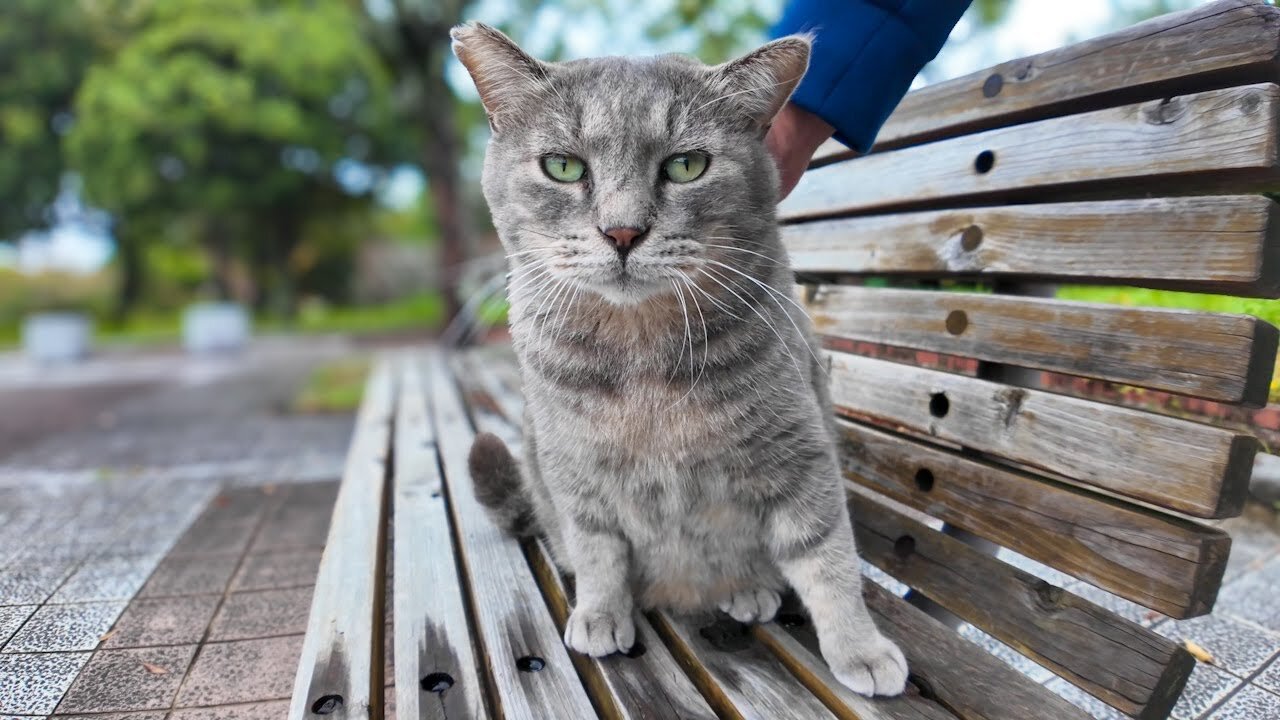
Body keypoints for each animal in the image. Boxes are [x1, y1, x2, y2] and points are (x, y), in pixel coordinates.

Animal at [450, 23, 911, 696]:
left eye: (686, 165)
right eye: (563, 166)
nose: (621, 232)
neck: (641, 357)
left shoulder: (800, 457)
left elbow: (827, 557)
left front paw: (859, 646)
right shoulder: (573, 473)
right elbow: (597, 552)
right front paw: (601, 612)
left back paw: (749, 589)